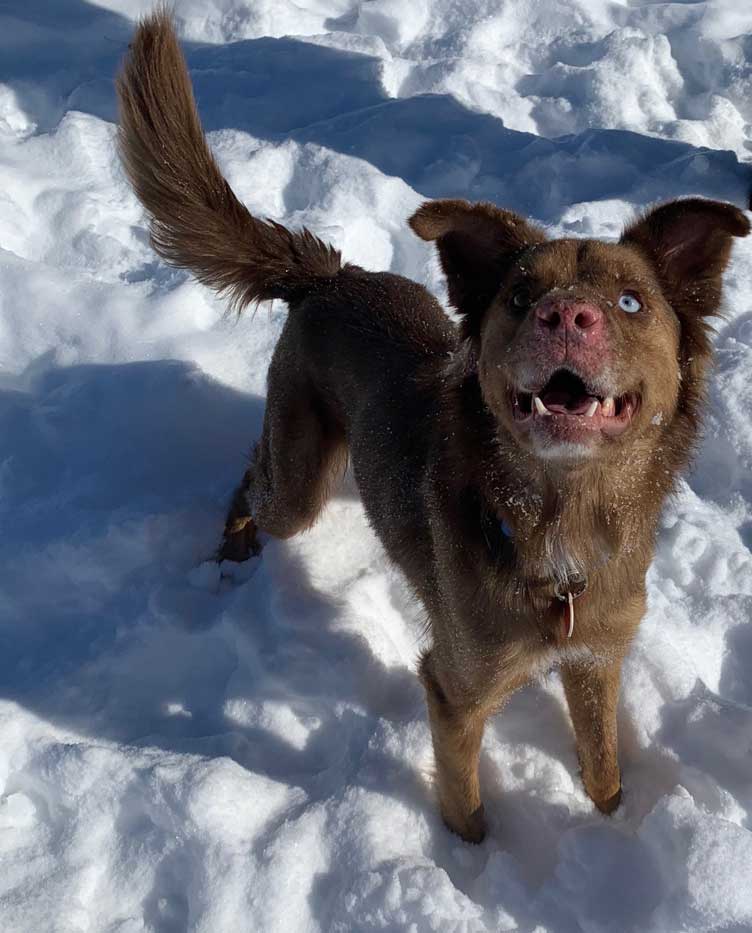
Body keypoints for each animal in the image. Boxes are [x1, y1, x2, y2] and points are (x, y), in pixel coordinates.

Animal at [117, 12, 752, 844]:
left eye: (630, 301)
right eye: (519, 296)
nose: (563, 316)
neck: (560, 520)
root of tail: (331, 276)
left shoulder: (597, 660)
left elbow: (604, 766)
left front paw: (615, 827)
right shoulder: (454, 688)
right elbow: (466, 800)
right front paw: (470, 863)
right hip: (301, 481)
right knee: (254, 478)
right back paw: (232, 552)